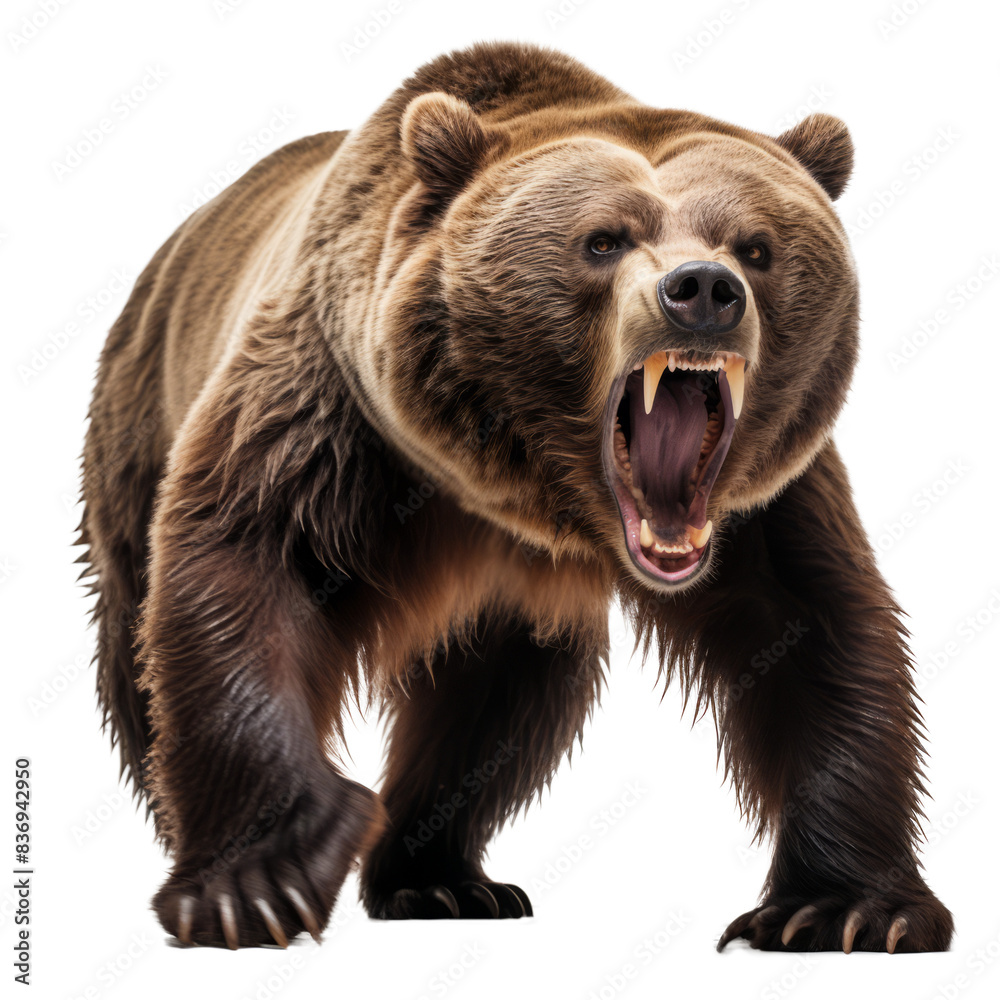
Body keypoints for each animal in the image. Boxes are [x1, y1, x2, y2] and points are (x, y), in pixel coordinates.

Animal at [79, 40, 953, 952]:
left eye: (755, 246)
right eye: (603, 240)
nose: (704, 291)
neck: (520, 493)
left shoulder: (757, 503)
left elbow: (815, 629)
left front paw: (844, 906)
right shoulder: (331, 416)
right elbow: (249, 566)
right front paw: (258, 880)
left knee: (498, 713)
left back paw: (440, 878)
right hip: (138, 416)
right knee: (134, 645)